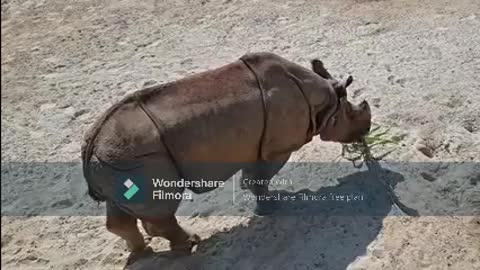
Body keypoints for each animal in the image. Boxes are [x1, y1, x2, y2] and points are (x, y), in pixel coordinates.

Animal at [80, 51, 372, 262]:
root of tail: (92, 145)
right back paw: (190, 245)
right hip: (136, 157)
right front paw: (271, 207)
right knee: (162, 207)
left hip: (115, 161)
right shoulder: (276, 147)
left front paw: (264, 199)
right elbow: (261, 177)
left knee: (121, 211)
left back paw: (143, 253)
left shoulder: (257, 145)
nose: (367, 129)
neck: (325, 100)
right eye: (353, 114)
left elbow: (254, 176)